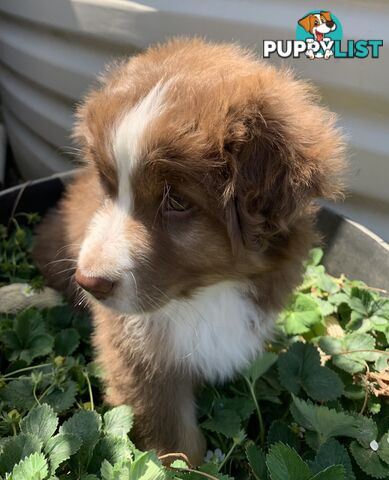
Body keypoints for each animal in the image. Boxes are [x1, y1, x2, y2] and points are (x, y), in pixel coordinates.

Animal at [32, 39, 342, 466]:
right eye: (108, 186)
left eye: (177, 201)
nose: (88, 282)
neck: (207, 293)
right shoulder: (136, 351)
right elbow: (174, 436)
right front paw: (189, 468)